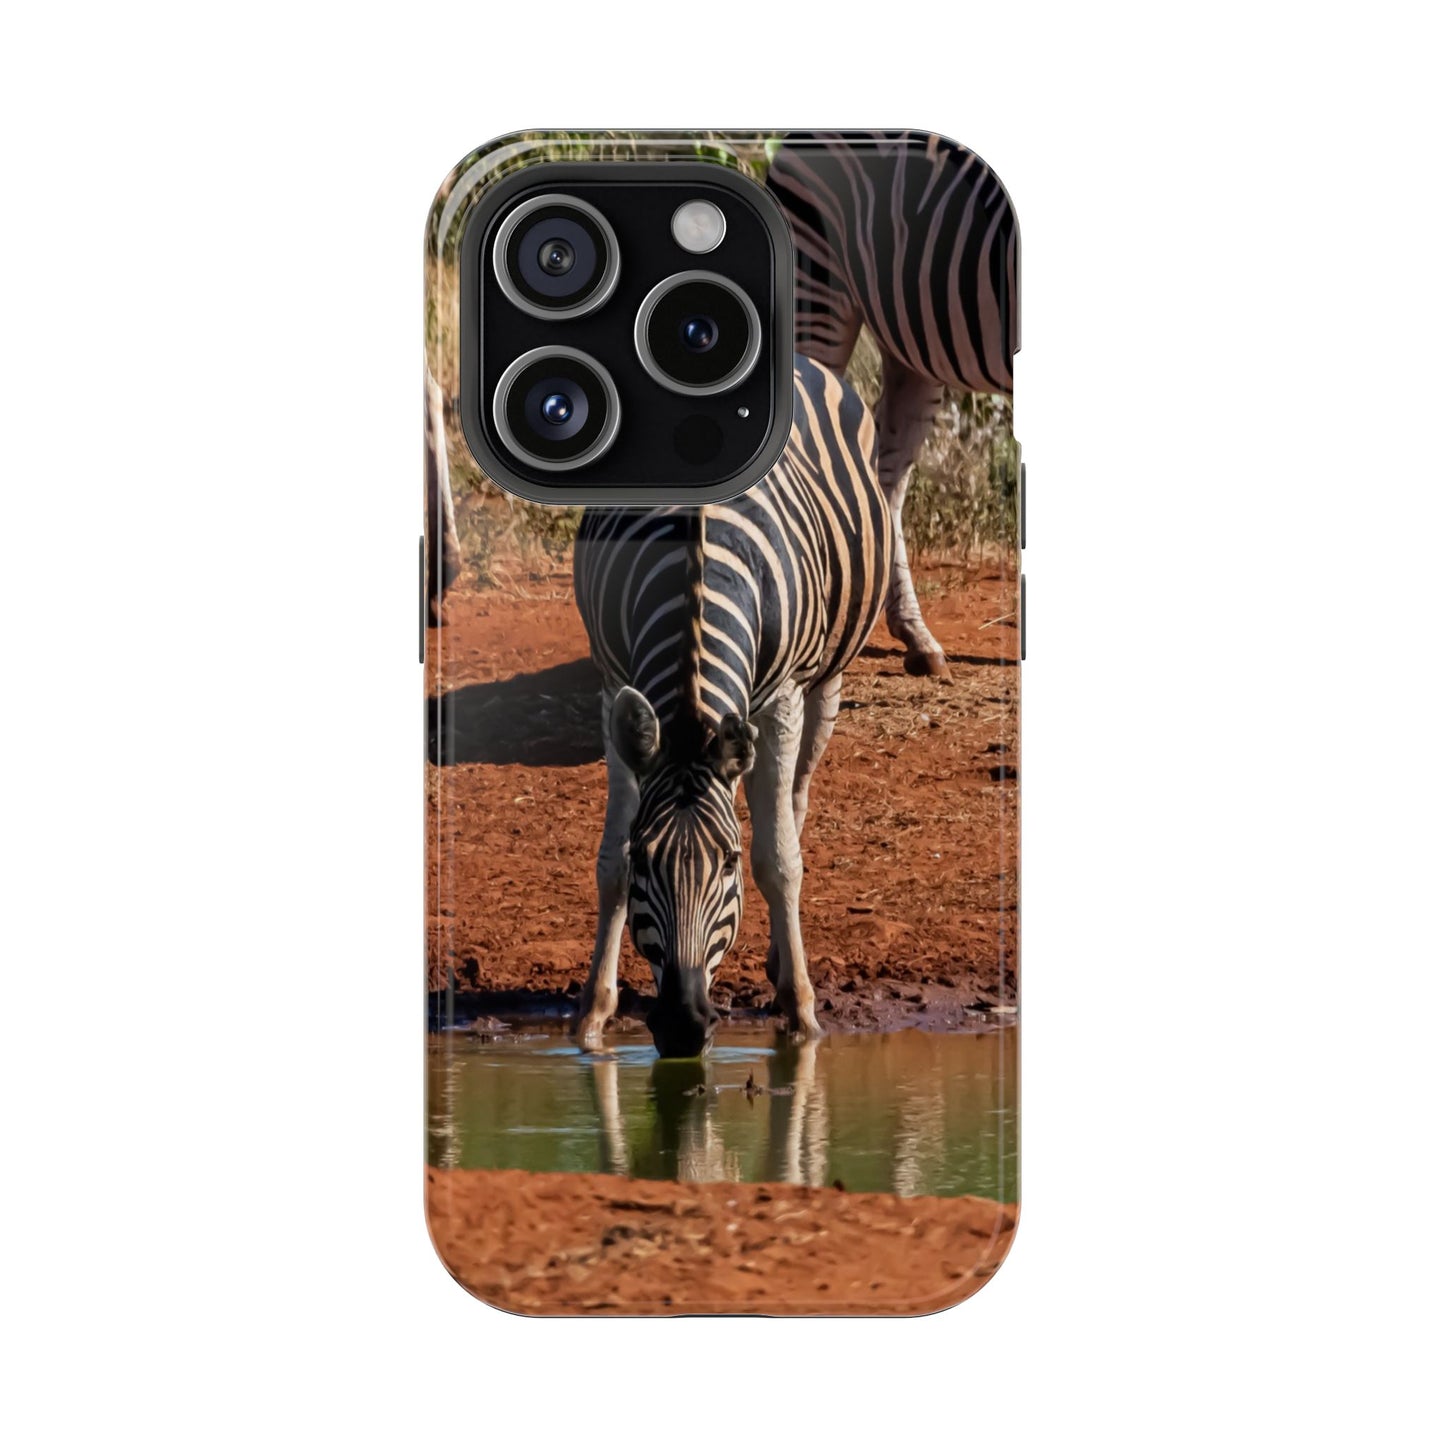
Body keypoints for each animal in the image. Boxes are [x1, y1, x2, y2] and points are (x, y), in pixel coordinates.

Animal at [573, 355, 890, 1056]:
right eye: (646, 858)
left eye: (728, 863)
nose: (683, 1026)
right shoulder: (612, 687)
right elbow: (607, 863)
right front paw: (593, 1014)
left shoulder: (782, 698)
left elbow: (779, 860)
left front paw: (801, 1012)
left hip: (825, 680)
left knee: (794, 803)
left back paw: (781, 964)